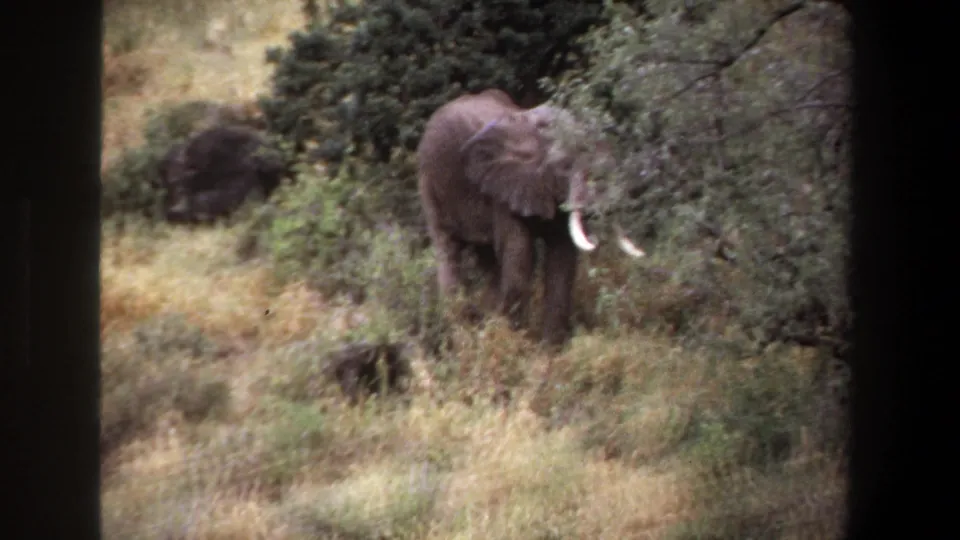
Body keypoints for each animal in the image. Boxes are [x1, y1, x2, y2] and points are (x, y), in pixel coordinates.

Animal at [417, 88, 644, 346]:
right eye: (566, 166)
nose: (596, 240)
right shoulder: (503, 189)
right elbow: (520, 255)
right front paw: (516, 344)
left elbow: (562, 259)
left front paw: (550, 350)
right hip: (429, 182)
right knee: (448, 250)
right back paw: (462, 334)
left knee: (488, 260)